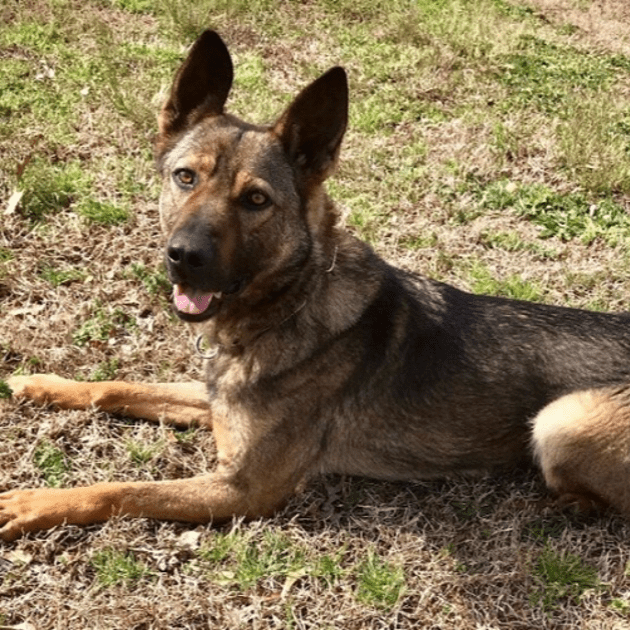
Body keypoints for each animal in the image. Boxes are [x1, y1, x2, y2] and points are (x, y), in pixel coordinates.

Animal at [3, 30, 630, 544]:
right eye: (185, 177)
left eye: (256, 200)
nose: (182, 258)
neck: (290, 304)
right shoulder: (216, 403)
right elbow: (119, 387)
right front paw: (45, 385)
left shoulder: (243, 487)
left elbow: (121, 489)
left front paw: (30, 503)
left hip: (560, 421)